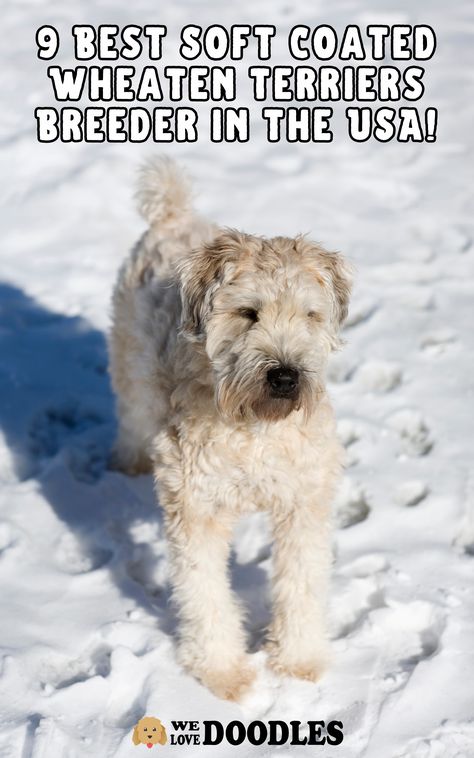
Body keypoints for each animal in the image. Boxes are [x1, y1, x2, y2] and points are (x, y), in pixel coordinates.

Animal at [109, 157, 350, 704]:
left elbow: (301, 583)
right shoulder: (195, 505)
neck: (255, 428)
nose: (285, 376)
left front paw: (298, 662)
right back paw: (126, 463)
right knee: (131, 415)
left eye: (310, 314)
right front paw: (223, 673)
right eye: (248, 312)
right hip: (131, 366)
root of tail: (174, 215)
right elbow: (205, 595)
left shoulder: (303, 501)